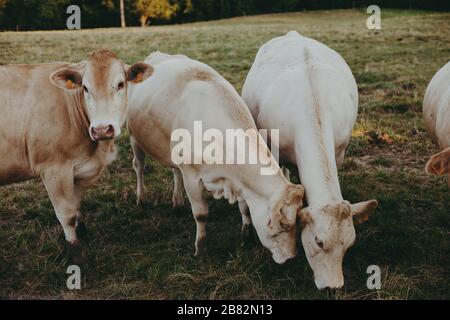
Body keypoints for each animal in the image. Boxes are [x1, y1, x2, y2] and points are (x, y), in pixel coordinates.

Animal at [0, 50, 153, 264]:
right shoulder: (54, 170)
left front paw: (83, 231)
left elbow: (77, 204)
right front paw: (76, 252)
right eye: (85, 88)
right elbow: (67, 214)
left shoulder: (80, 170)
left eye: (120, 84)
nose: (101, 129)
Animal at [127, 51, 306, 264]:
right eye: (281, 228)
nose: (291, 258)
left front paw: (246, 234)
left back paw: (177, 201)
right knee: (139, 166)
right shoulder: (192, 177)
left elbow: (245, 207)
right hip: (134, 137)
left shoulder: (236, 179)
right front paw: (200, 248)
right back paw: (141, 197)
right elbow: (201, 214)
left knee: (174, 171)